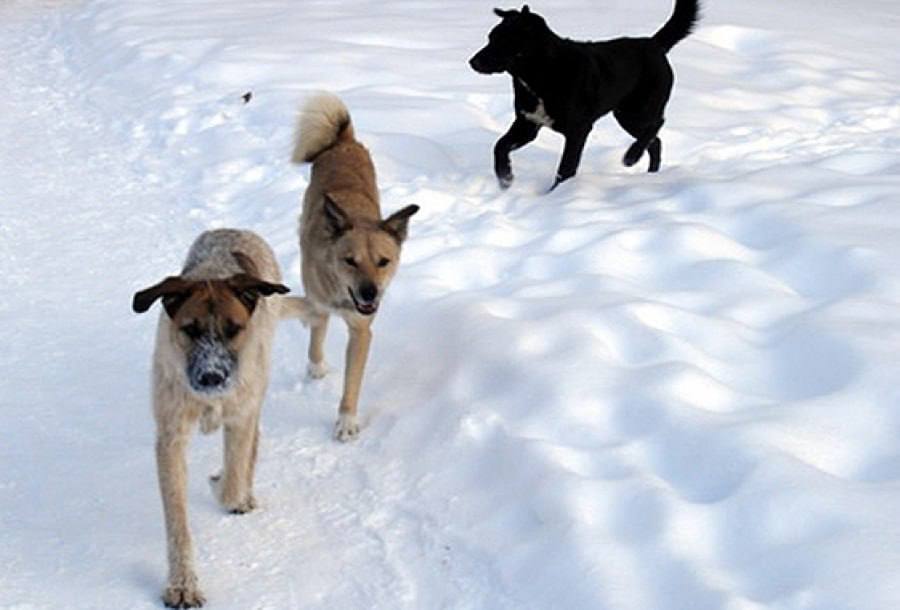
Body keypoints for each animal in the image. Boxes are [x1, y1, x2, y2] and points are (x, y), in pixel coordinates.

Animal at [132, 227, 314, 604]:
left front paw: (225, 487)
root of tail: (233, 231)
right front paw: (183, 584)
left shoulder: (240, 416)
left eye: (233, 329)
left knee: (251, 446)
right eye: (190, 329)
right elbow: (177, 522)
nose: (212, 377)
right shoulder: (170, 435)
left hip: (258, 380)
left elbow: (232, 482)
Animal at [296, 92, 422, 440]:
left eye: (384, 262)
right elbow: (316, 335)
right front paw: (315, 366)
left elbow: (353, 381)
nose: (370, 295)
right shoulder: (318, 302)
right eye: (349, 261)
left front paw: (347, 420)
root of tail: (345, 141)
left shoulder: (362, 331)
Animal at [472, 0, 704, 190]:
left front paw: (554, 196)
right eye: (490, 38)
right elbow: (500, 146)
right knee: (656, 142)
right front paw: (505, 177)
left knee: (657, 125)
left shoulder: (578, 130)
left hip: (637, 111)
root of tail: (653, 43)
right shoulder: (527, 124)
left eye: (503, 41)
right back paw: (650, 174)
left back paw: (632, 156)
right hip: (626, 116)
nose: (472, 61)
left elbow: (565, 168)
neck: (543, 72)